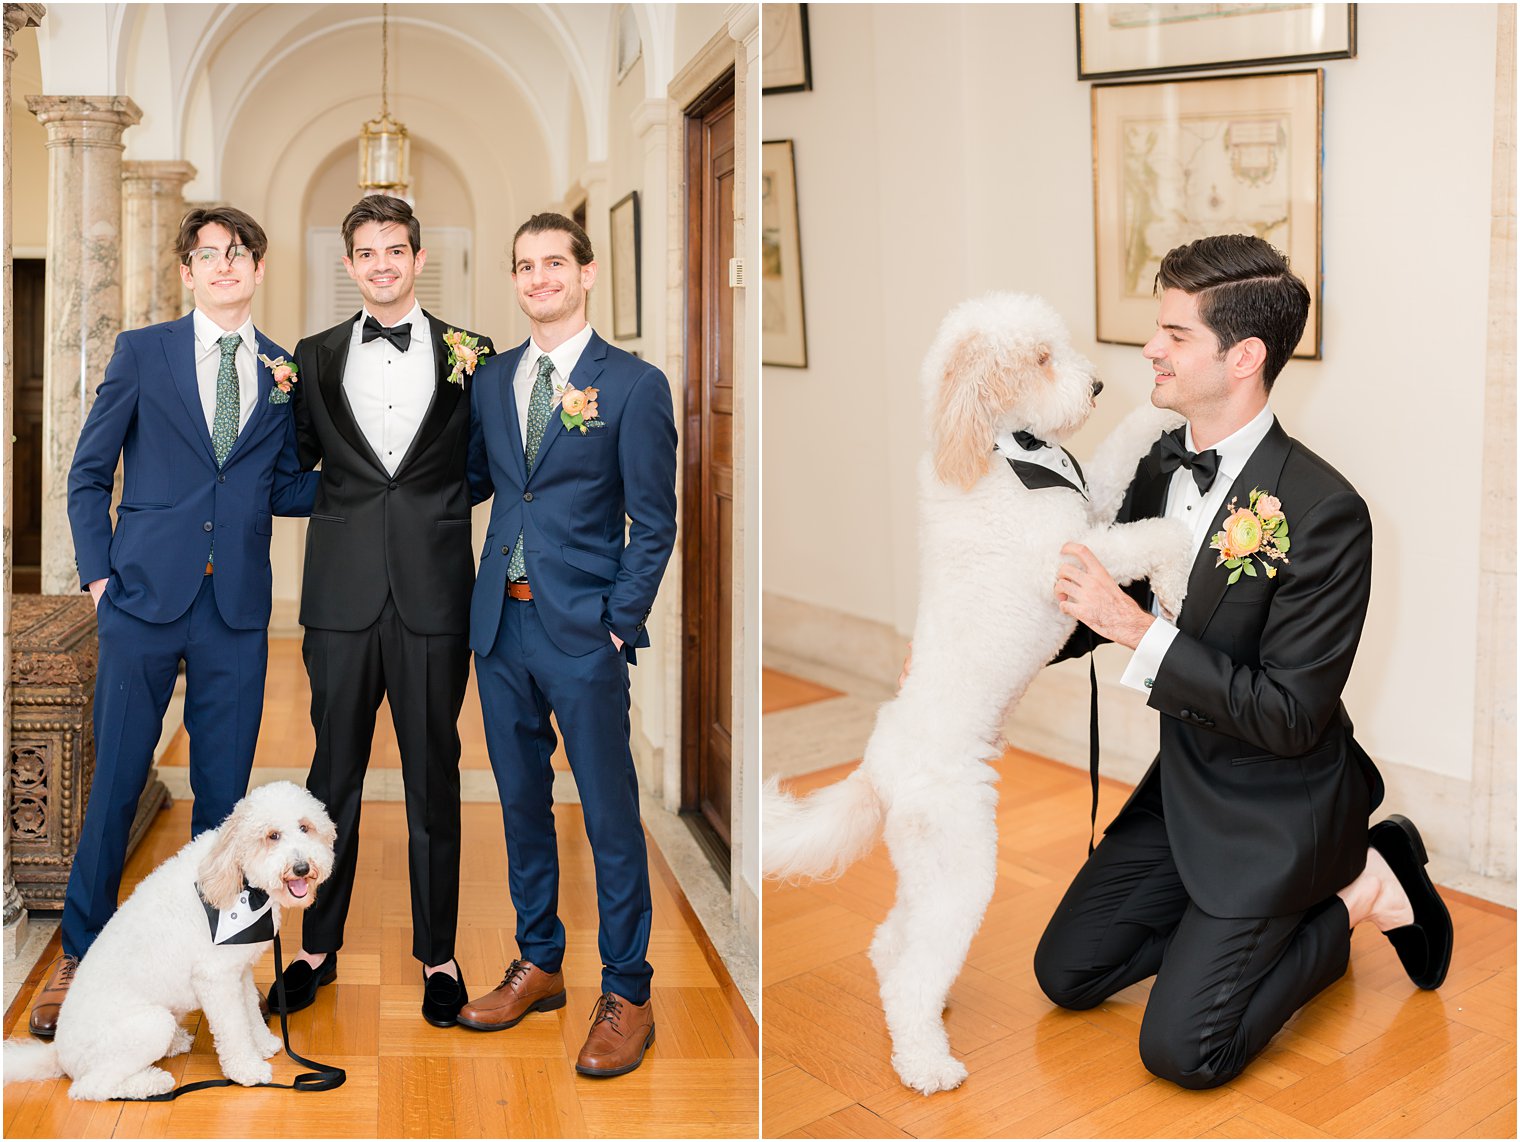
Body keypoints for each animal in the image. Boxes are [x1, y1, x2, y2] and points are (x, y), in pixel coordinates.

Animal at [2, 784, 335, 1100]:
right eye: (272, 835)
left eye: (305, 827)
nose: (302, 868)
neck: (238, 880)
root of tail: (59, 1054)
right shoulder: (216, 979)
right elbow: (234, 1028)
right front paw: (247, 1069)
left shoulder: (238, 972)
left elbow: (250, 1011)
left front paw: (263, 1044)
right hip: (150, 1025)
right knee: (91, 1088)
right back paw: (152, 1083)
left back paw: (175, 1045)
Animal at [766, 290, 1191, 1094]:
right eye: (1041, 358)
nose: (1096, 386)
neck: (999, 448)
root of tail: (878, 767)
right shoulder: (1077, 557)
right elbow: (1152, 536)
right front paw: (1180, 576)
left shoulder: (1091, 504)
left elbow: (1116, 461)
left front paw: (1153, 417)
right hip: (959, 859)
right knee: (911, 968)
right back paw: (926, 1064)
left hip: (925, 865)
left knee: (891, 941)